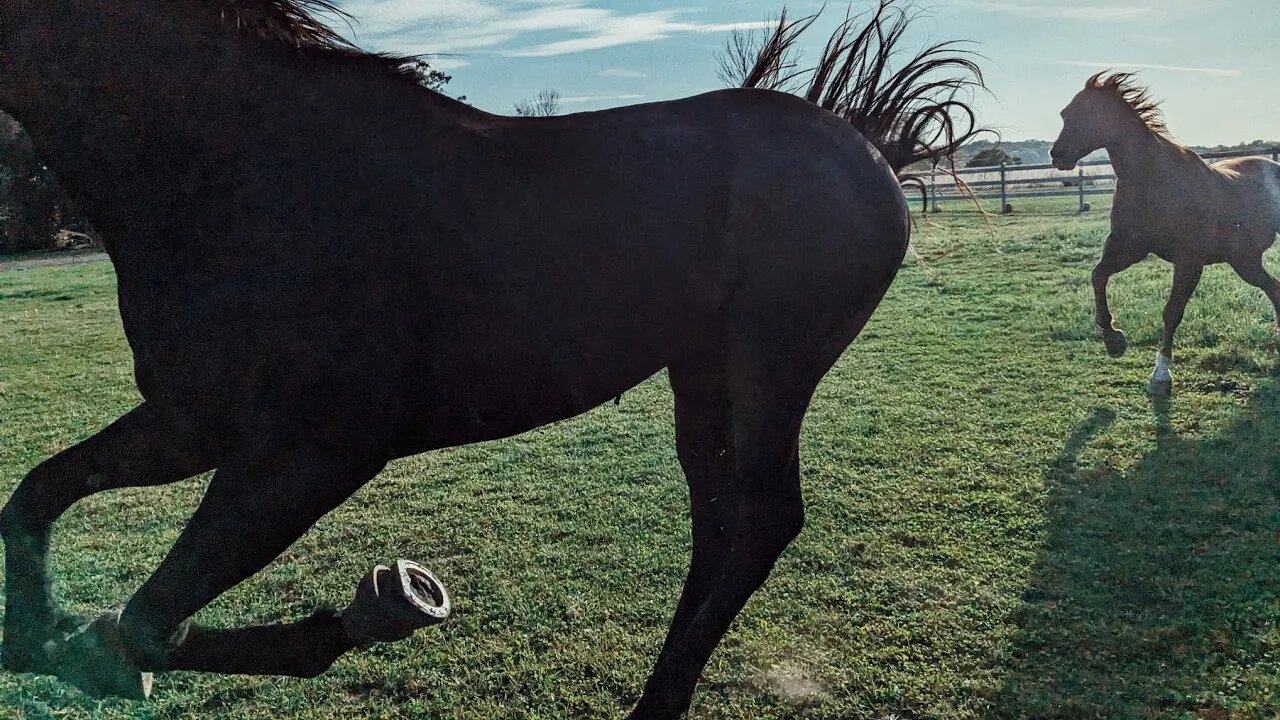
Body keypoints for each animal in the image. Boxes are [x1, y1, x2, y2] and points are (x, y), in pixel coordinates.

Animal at [0, 0, 977, 712]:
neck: (250, 172)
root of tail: (864, 145)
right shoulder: (193, 421)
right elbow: (38, 498)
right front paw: (47, 636)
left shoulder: (314, 452)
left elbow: (150, 618)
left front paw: (376, 610)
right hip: (702, 379)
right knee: (723, 520)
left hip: (770, 366)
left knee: (764, 519)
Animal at [1049, 73, 1280, 392]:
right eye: (1065, 113)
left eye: (1090, 112)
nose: (1057, 155)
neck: (1153, 179)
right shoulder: (1127, 248)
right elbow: (1098, 276)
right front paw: (1113, 338)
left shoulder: (1189, 262)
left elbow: (1171, 312)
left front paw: (1160, 373)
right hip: (1244, 261)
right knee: (1275, 289)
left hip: (1243, 262)